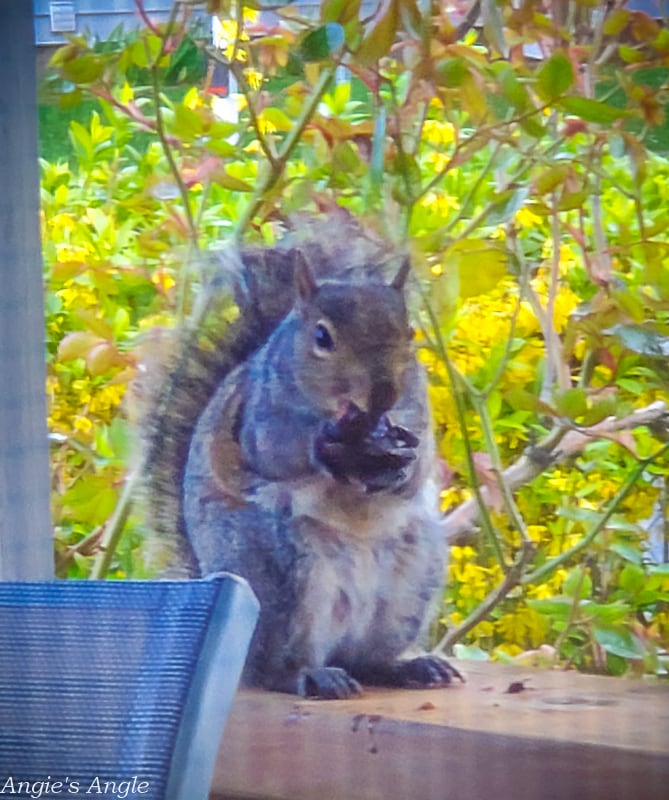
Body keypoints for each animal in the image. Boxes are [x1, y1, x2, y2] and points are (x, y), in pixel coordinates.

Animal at [140, 219, 464, 700]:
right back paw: (310, 675)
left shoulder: (417, 413)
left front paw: (401, 465)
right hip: (282, 576)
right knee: (278, 664)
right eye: (322, 337)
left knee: (368, 660)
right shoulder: (259, 416)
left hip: (413, 579)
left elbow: (420, 465)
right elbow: (276, 451)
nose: (384, 392)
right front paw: (325, 444)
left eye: (410, 335)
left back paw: (408, 667)